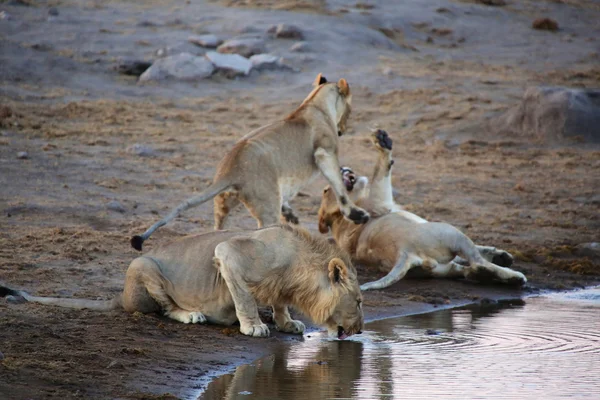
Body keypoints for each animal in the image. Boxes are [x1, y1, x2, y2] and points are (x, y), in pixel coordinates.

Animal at [0, 225, 364, 338]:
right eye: (360, 301)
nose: (361, 329)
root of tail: (120, 296)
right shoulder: (228, 253)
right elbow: (245, 297)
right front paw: (254, 326)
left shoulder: (281, 288)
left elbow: (279, 303)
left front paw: (286, 323)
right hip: (143, 265)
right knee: (164, 309)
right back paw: (191, 315)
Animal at [129, 73, 368, 252]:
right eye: (351, 109)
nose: (343, 129)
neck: (315, 104)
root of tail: (230, 170)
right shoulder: (325, 153)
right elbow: (339, 188)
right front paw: (357, 215)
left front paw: (290, 213)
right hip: (266, 208)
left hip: (223, 205)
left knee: (217, 234)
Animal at [316, 130, 528, 290]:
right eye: (326, 189)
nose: (343, 167)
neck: (340, 220)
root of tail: (404, 252)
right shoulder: (378, 203)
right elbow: (380, 174)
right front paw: (383, 144)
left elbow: (479, 248)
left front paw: (501, 254)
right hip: (449, 231)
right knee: (476, 262)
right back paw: (515, 277)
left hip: (444, 267)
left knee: (468, 269)